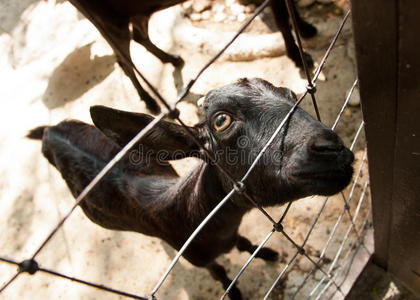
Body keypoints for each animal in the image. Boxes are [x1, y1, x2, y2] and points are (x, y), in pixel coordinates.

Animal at [27, 78, 352, 298]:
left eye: (291, 95)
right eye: (221, 120)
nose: (332, 149)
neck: (189, 213)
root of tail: (50, 131)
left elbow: (244, 242)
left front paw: (267, 253)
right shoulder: (198, 258)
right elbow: (220, 272)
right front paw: (234, 293)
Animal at [69, 0, 316, 114]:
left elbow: (292, 10)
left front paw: (306, 28)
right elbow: (282, 19)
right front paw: (298, 57)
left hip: (137, 12)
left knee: (139, 36)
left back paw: (172, 59)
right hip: (110, 23)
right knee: (124, 61)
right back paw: (150, 102)